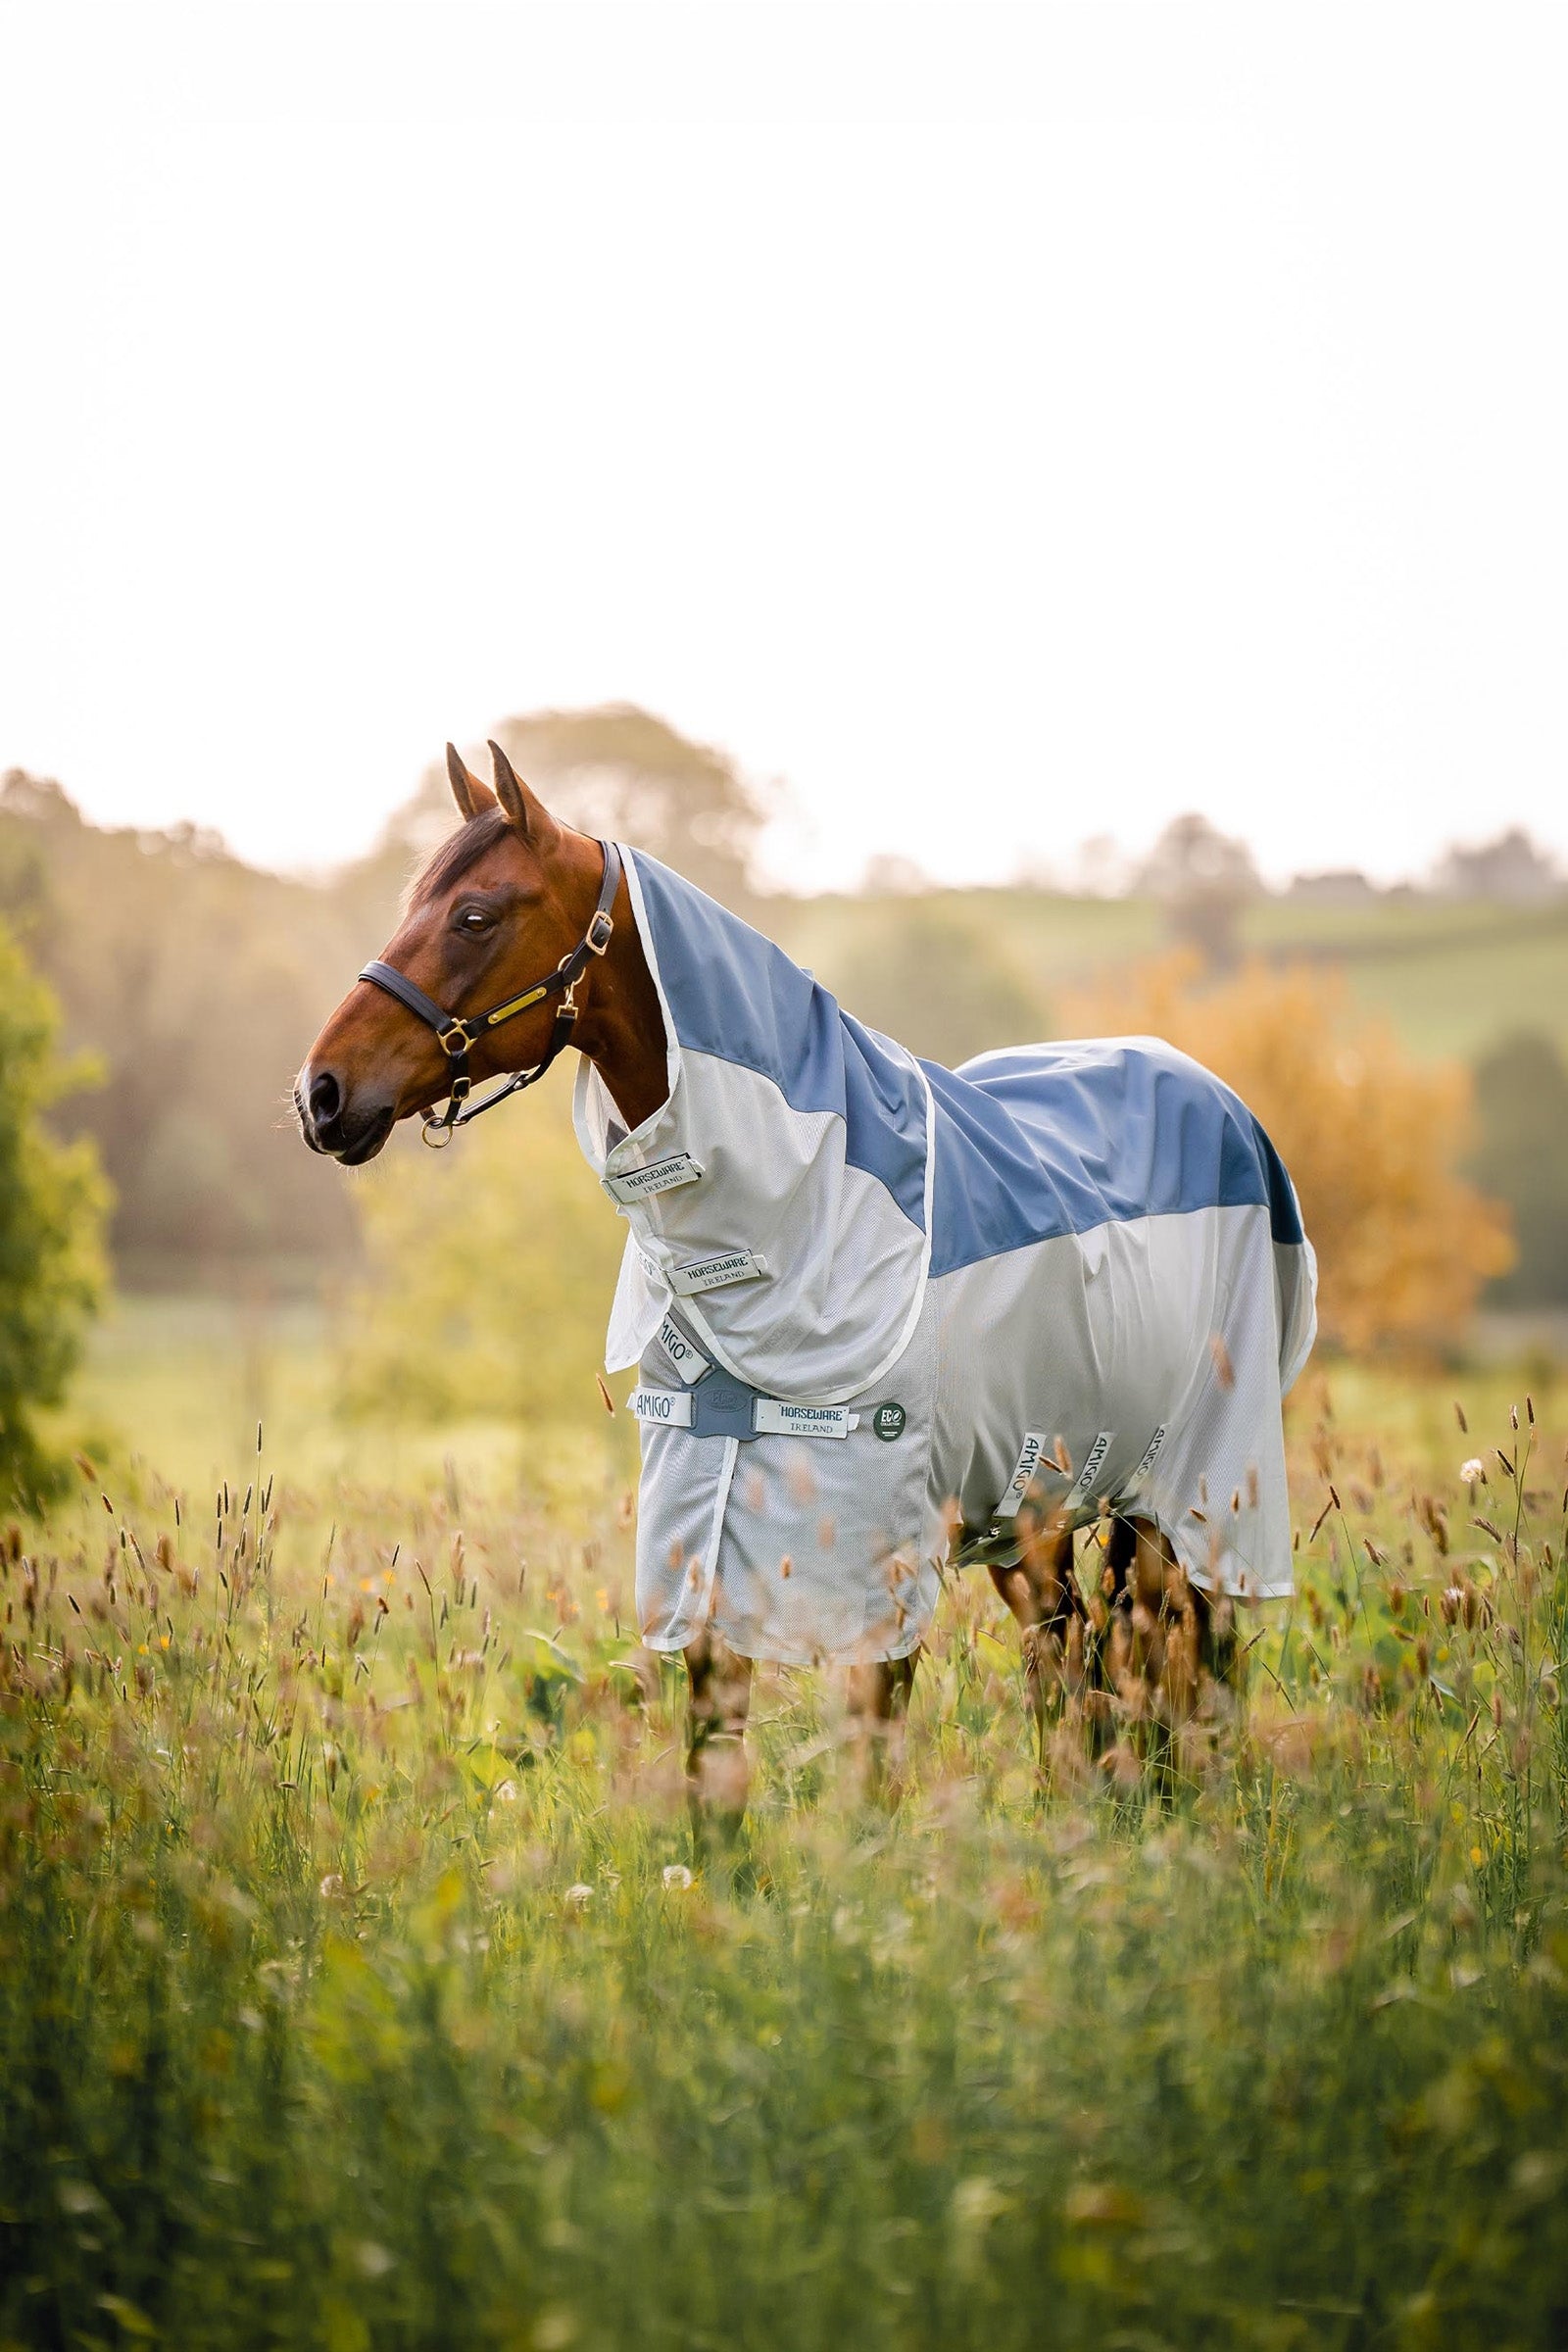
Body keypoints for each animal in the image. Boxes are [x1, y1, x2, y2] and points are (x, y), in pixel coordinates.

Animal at [297, 742, 1317, 1813]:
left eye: (476, 915)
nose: (321, 1092)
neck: (800, 1219)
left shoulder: (878, 1561)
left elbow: (870, 1765)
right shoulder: (705, 1546)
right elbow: (716, 1766)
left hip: (1192, 1497)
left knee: (1179, 1654)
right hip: (1035, 1511)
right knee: (1073, 1661)